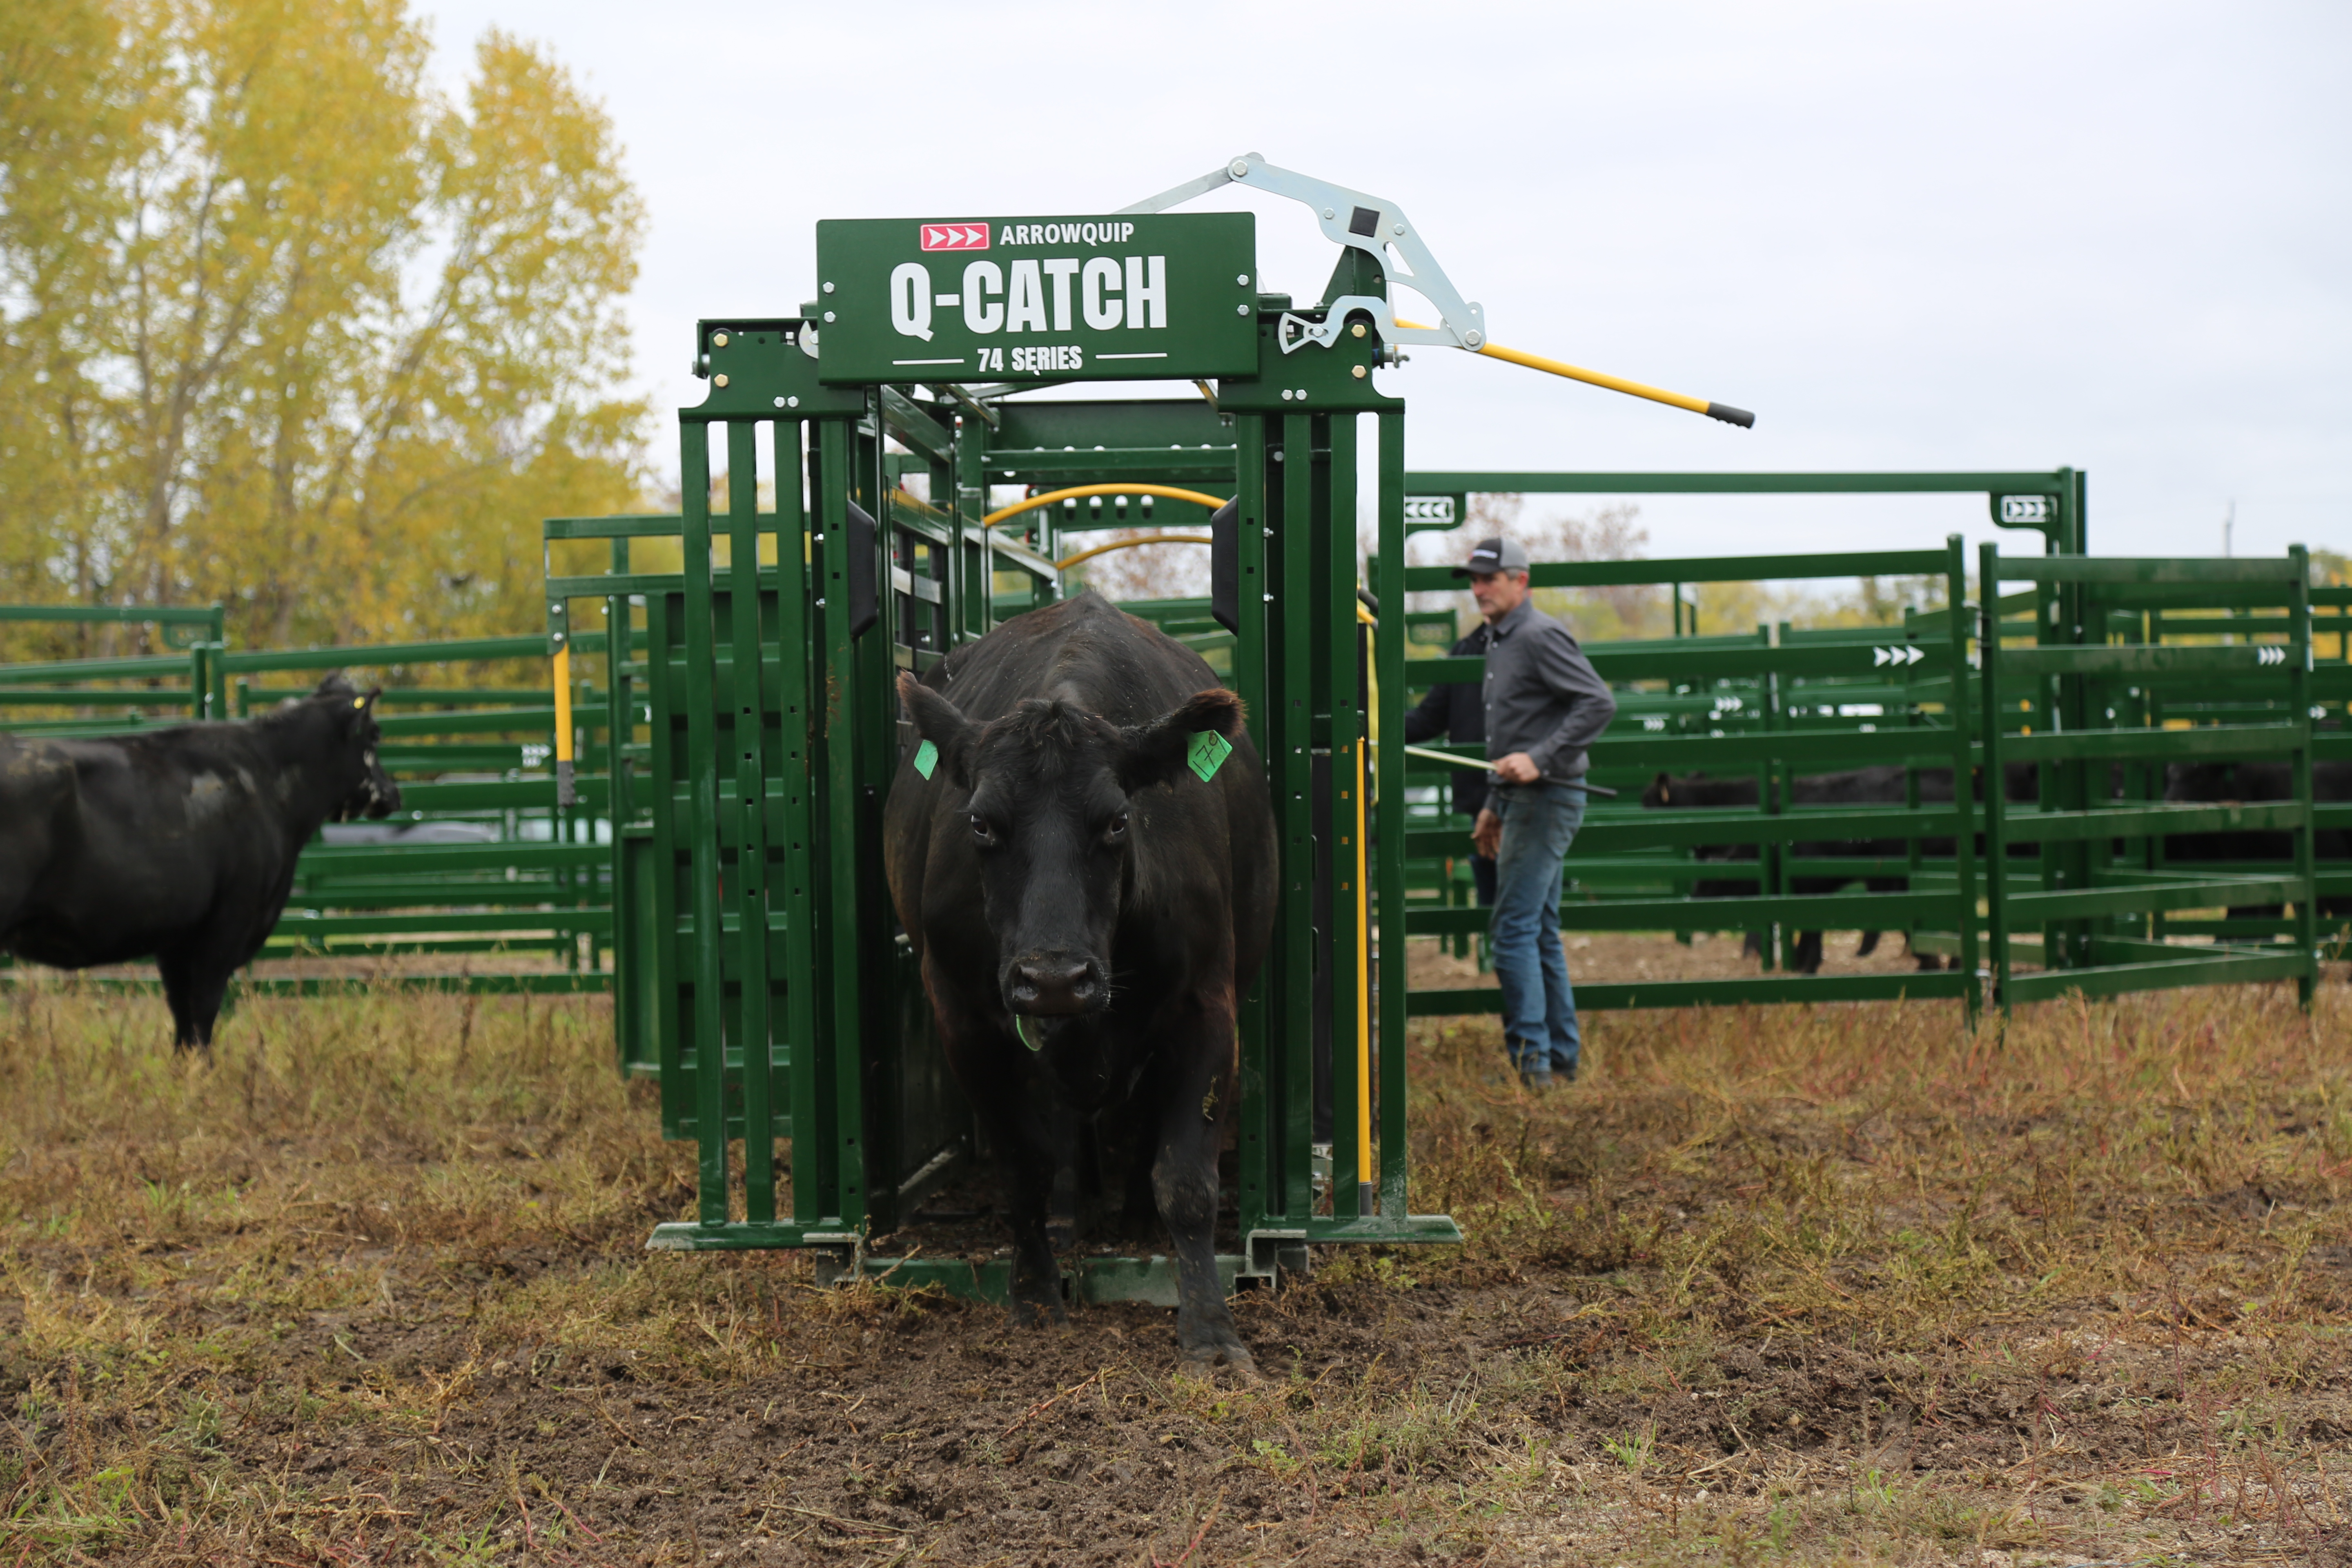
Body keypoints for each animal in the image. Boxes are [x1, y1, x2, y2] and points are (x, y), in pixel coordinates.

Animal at [0, 674, 399, 1048]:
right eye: (376, 735)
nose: (394, 792)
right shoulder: (227, 922)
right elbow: (203, 1012)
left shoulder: (176, 935)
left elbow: (182, 1019)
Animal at [885, 593, 1277, 1376]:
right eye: (980, 822)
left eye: (1119, 820)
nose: (1054, 978)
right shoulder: (964, 1020)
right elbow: (1023, 1165)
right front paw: (1036, 1294)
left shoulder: (1206, 1007)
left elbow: (1186, 1179)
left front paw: (1211, 1331)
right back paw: (1074, 1217)